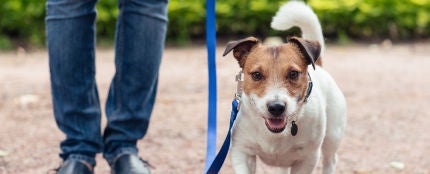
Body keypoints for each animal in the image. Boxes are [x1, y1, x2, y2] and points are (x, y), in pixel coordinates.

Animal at [222, 1, 346, 174]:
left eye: (293, 73)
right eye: (256, 75)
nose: (276, 107)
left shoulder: (307, 159)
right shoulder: (242, 152)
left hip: (332, 136)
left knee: (330, 160)